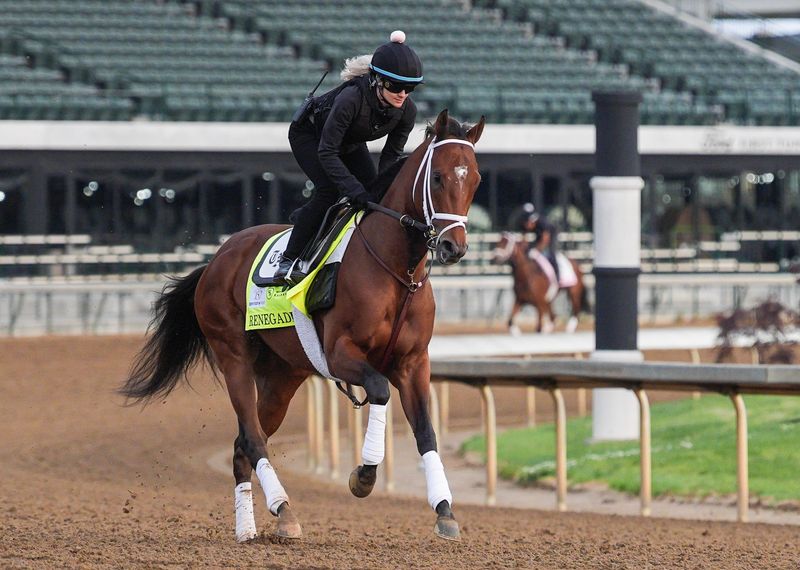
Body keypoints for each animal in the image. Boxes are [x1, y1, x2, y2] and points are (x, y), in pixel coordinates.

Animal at [120, 109, 485, 544]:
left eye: (475, 179)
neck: (397, 271)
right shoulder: (341, 353)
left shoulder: (413, 363)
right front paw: (363, 476)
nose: (453, 247)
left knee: (242, 444)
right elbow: (379, 391)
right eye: (438, 178)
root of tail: (215, 260)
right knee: (253, 437)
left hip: (282, 376)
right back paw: (284, 510)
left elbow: (427, 431)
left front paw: (444, 510)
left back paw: (247, 529)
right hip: (233, 356)